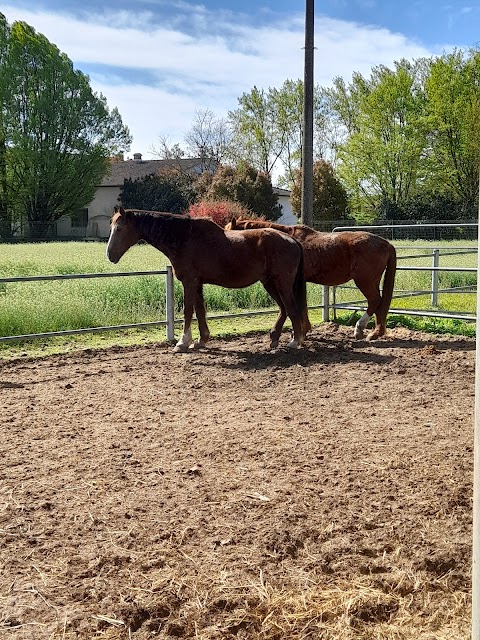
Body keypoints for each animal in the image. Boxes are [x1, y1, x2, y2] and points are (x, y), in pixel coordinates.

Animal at [105, 209, 310, 350]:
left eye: (119, 228)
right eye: (111, 227)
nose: (109, 255)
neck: (185, 238)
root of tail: (292, 240)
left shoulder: (189, 282)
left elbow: (188, 311)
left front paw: (182, 342)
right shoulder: (197, 283)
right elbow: (200, 311)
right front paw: (201, 340)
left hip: (282, 284)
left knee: (291, 308)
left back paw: (294, 341)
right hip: (269, 283)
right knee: (283, 309)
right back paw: (275, 338)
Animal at [225, 219, 398, 342]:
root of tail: (387, 244)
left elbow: (300, 306)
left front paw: (299, 333)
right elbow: (304, 306)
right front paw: (304, 330)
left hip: (364, 281)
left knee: (375, 301)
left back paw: (360, 329)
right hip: (372, 282)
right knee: (379, 303)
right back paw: (375, 333)